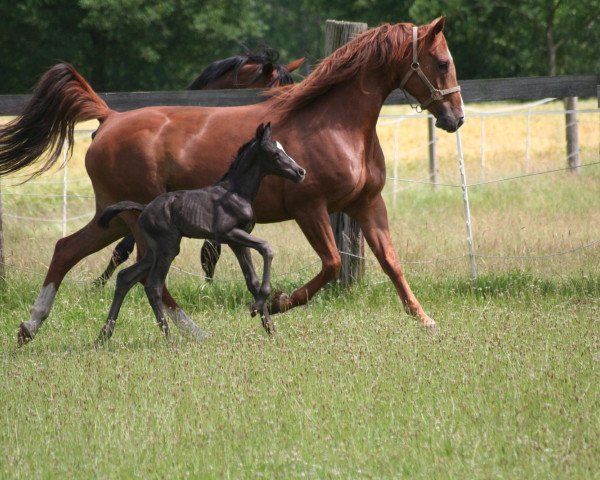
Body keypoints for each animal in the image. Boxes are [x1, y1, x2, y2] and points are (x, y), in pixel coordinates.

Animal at [98, 122, 308, 344]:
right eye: (275, 153)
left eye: (283, 148)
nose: (300, 172)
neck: (236, 193)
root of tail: (144, 208)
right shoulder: (228, 234)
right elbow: (267, 248)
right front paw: (257, 308)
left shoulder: (238, 242)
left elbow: (253, 281)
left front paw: (270, 329)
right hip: (167, 248)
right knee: (153, 286)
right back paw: (169, 339)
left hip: (154, 251)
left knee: (126, 277)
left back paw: (103, 336)